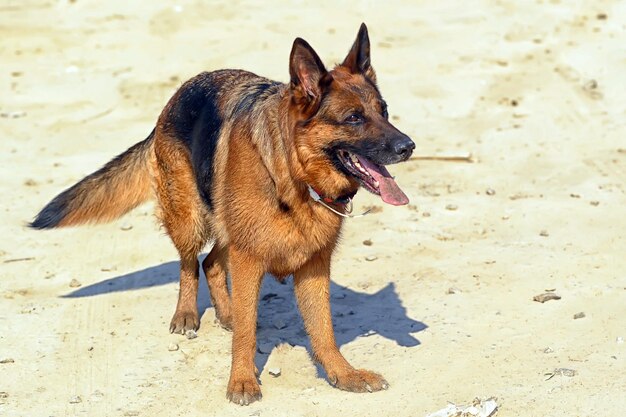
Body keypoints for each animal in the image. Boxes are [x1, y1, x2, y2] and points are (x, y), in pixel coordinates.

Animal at [33, 22, 414, 404]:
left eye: (384, 111)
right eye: (354, 118)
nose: (409, 146)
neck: (293, 175)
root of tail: (179, 94)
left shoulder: (313, 267)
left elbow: (324, 331)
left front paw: (343, 374)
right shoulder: (248, 260)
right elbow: (245, 334)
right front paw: (242, 380)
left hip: (230, 232)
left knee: (211, 263)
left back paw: (226, 311)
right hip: (190, 221)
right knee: (190, 263)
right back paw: (187, 313)